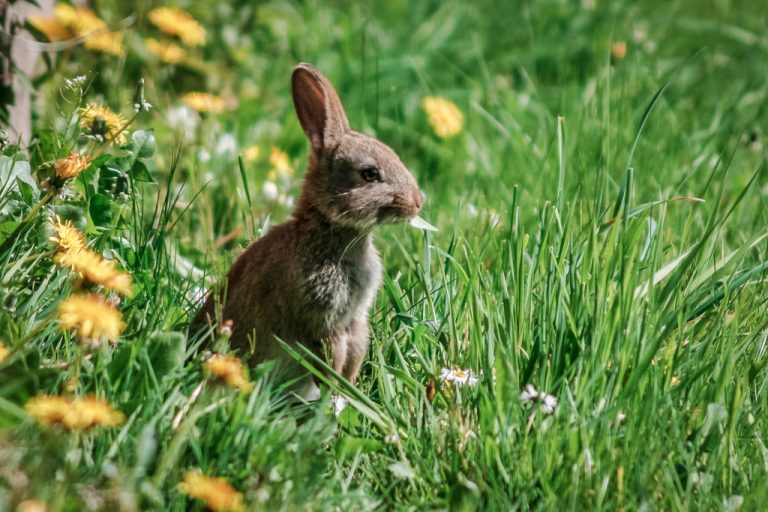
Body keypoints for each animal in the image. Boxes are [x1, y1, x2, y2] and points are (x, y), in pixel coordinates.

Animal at [193, 63, 423, 398]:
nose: (418, 202)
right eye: (370, 174)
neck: (328, 228)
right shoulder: (322, 320)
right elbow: (332, 354)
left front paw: (346, 392)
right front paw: (334, 390)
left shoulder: (354, 321)